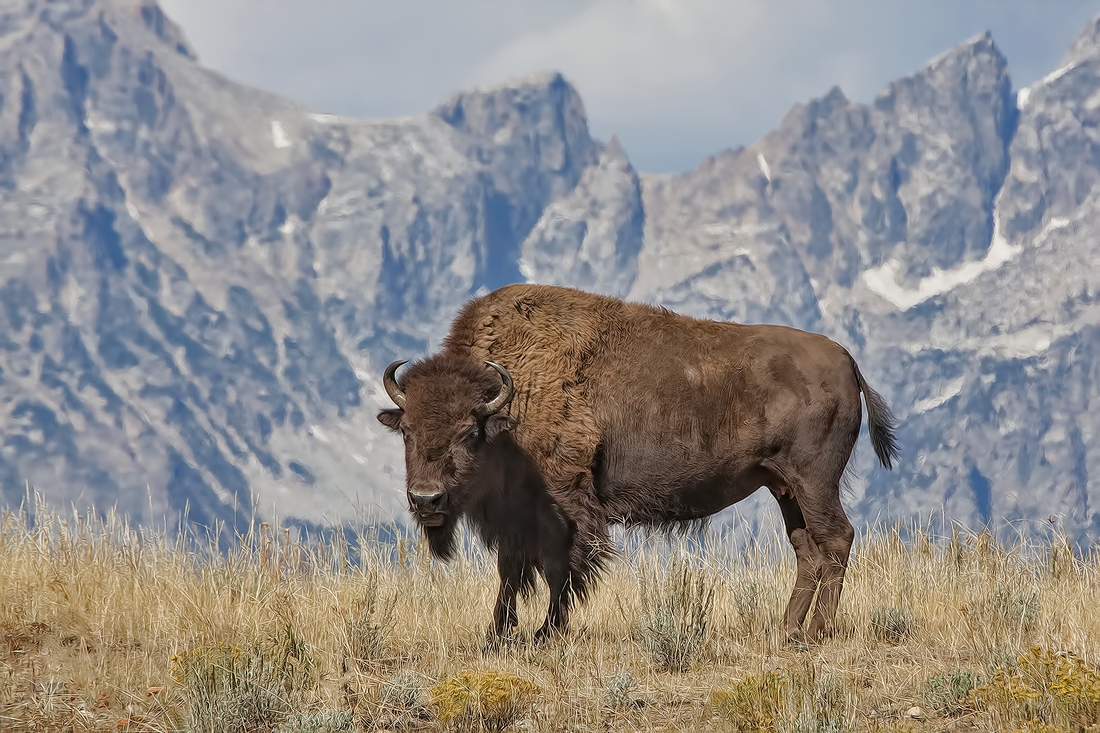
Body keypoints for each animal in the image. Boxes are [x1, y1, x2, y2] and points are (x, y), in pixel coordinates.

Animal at [376, 281, 893, 642]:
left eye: (468, 433)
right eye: (407, 431)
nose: (426, 499)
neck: (510, 400)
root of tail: (845, 359)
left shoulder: (562, 504)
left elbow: (559, 568)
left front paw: (545, 632)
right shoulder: (516, 517)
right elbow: (513, 571)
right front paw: (498, 634)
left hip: (813, 481)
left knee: (836, 538)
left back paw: (817, 631)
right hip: (783, 487)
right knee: (807, 547)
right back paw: (787, 629)